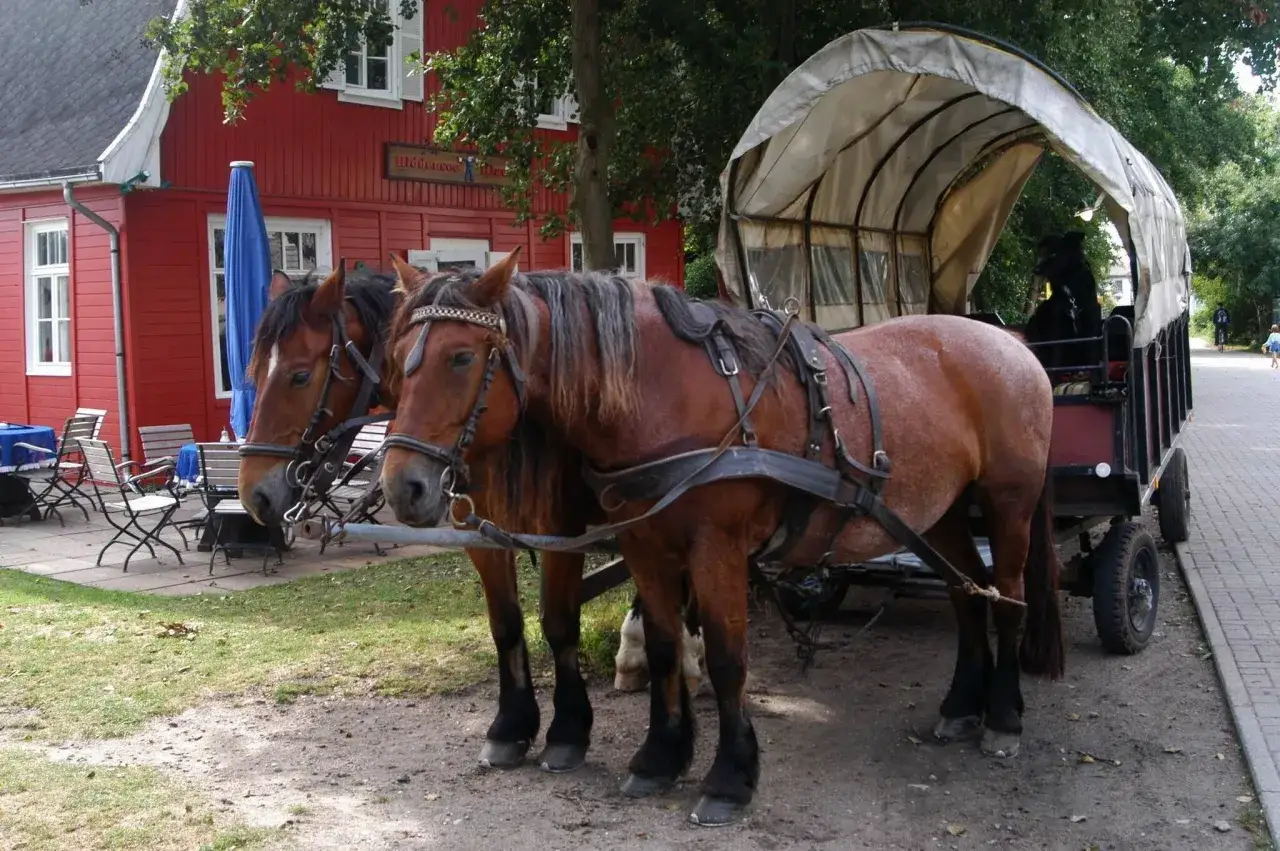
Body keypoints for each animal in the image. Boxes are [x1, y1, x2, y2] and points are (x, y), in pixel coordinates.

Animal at [236, 260, 702, 775]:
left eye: (300, 376)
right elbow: (506, 624)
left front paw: (567, 731)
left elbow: (559, 623)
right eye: (254, 372)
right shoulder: (480, 534)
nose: (254, 493)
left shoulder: (559, 530)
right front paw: (511, 727)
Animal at [379, 251, 1066, 826]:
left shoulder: (713, 550)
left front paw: (729, 778)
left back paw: (1003, 717)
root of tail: (1009, 342)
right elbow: (657, 647)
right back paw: (961, 707)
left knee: (1006, 602)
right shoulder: (644, 546)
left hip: (1008, 506)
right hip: (939, 512)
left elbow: (728, 659)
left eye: (461, 357)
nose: (402, 486)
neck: (664, 394)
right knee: (966, 598)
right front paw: (659, 757)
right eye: (398, 358)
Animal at [1023, 231, 1103, 373]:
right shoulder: (1057, 331)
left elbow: (1093, 360)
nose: (1035, 270)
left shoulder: (1091, 329)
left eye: (1054, 254)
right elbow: (1056, 361)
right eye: (1041, 255)